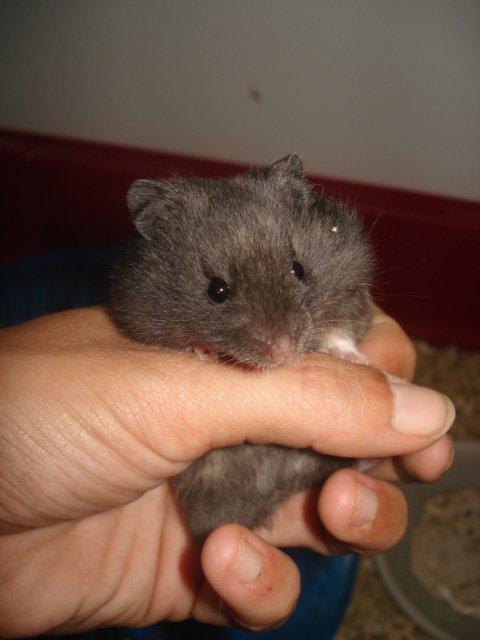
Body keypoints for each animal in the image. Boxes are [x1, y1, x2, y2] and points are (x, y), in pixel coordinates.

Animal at [109, 154, 374, 542]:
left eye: (298, 269)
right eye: (217, 290)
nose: (282, 353)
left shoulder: (351, 294)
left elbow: (343, 329)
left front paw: (358, 360)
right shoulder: (138, 315)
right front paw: (205, 351)